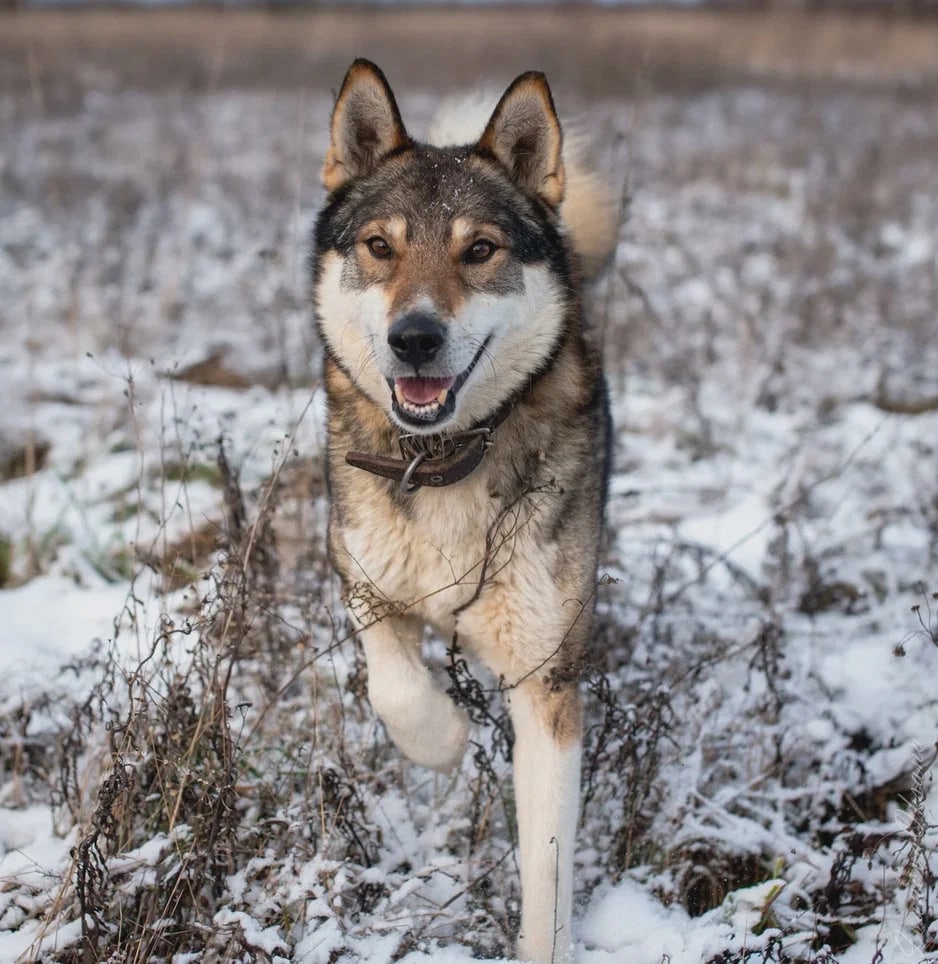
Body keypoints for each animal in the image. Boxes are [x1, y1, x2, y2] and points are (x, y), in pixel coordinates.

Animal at [310, 62, 612, 964]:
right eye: (380, 247)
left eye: (479, 250)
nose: (414, 338)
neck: (445, 461)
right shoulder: (361, 568)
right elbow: (393, 685)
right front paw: (442, 738)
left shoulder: (547, 678)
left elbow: (546, 863)